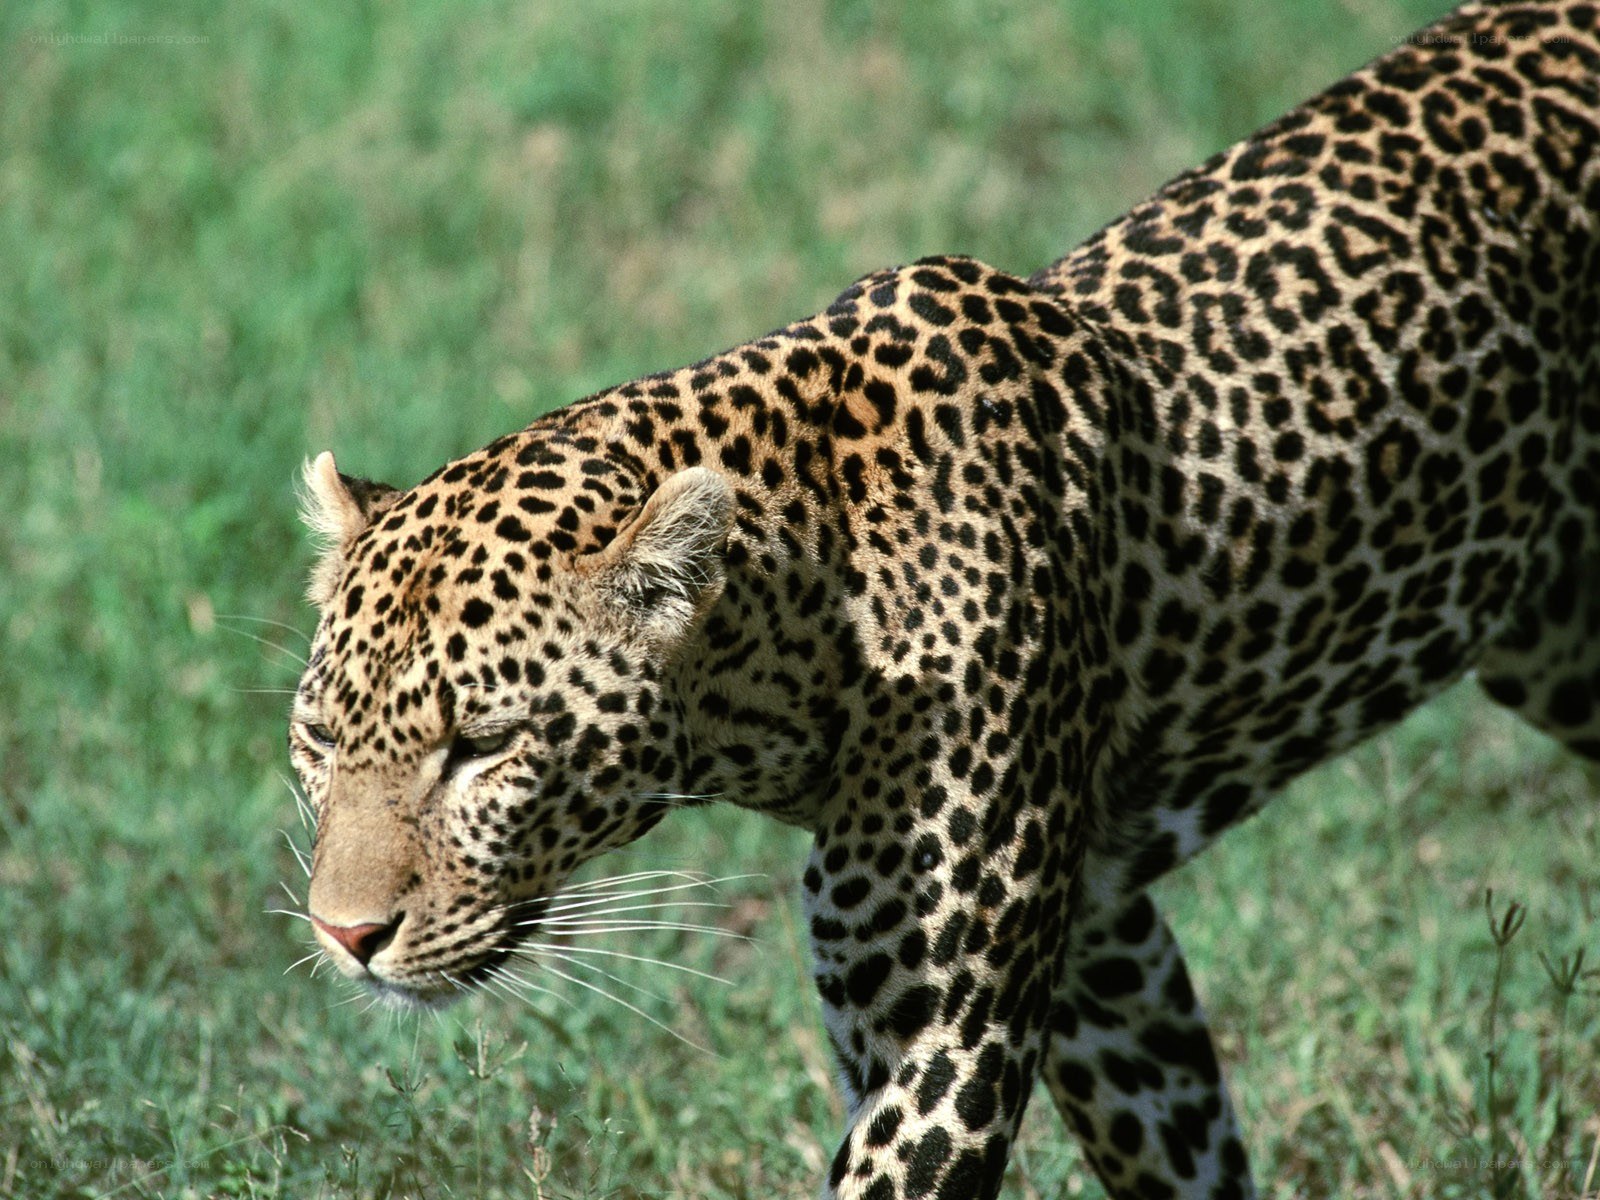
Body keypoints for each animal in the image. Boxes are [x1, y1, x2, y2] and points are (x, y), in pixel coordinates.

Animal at [287, 2, 1600, 1196]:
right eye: (318, 742)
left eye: (485, 745)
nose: (346, 939)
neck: (806, 618)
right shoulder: (1097, 950)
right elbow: (1185, 1146)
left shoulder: (948, 1030)